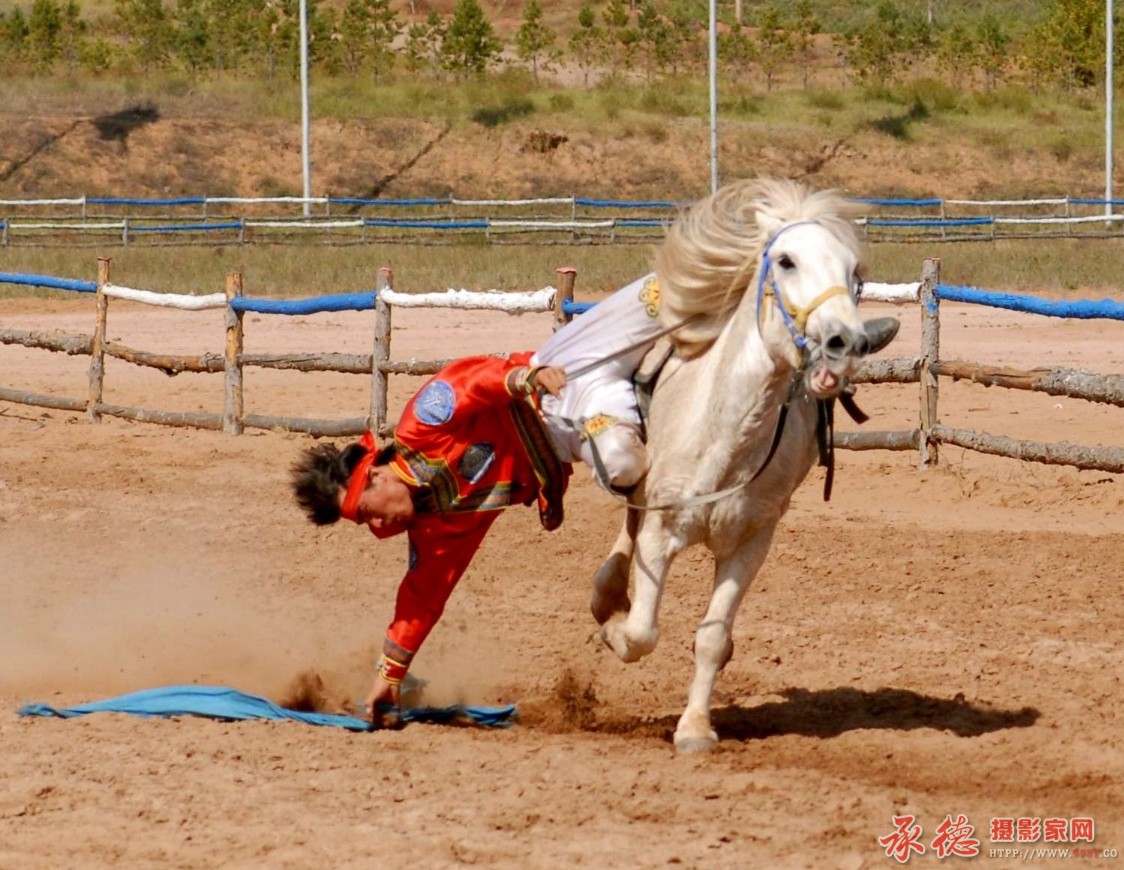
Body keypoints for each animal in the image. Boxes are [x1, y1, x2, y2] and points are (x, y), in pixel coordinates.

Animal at [588, 177, 894, 755]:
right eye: (787, 261)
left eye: (854, 271)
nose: (843, 343)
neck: (727, 442)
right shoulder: (662, 531)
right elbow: (641, 632)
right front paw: (615, 629)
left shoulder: (750, 543)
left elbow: (711, 638)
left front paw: (694, 729)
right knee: (626, 531)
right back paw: (607, 596)